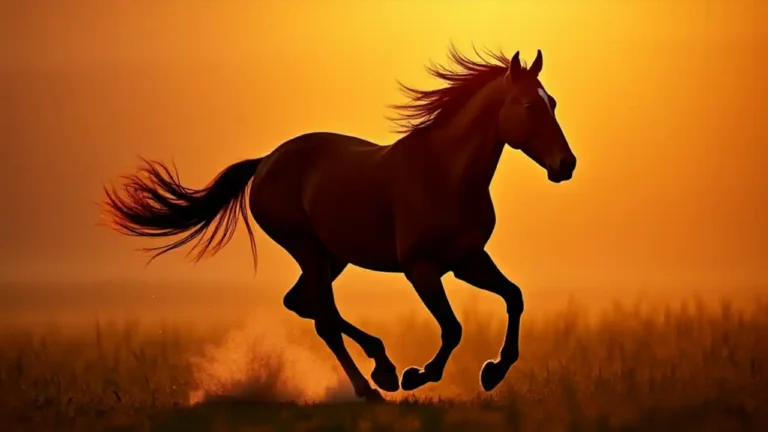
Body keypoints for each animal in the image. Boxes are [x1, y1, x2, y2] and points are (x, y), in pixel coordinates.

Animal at [102, 46, 576, 402]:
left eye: (552, 103)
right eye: (529, 105)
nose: (566, 164)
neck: (446, 174)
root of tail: (266, 161)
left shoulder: (467, 261)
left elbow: (514, 297)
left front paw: (493, 371)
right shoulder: (421, 269)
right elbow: (454, 328)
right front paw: (418, 375)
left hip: (333, 257)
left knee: (303, 304)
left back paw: (381, 365)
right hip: (308, 248)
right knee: (323, 319)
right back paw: (373, 385)